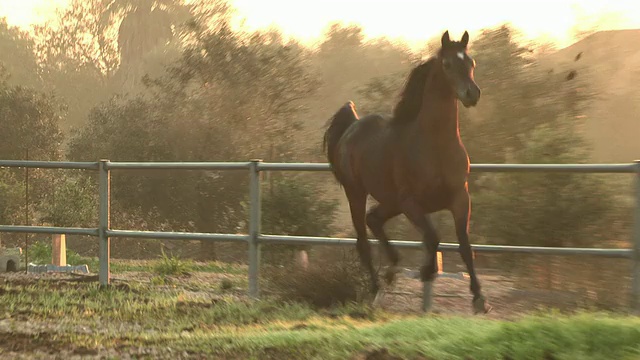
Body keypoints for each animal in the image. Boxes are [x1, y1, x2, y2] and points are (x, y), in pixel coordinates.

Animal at [322, 29, 492, 314]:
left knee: (373, 219)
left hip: (390, 202)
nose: (472, 94)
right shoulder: (412, 203)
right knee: (363, 240)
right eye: (447, 64)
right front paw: (427, 271)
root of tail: (352, 126)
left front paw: (479, 298)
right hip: (357, 193)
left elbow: (465, 245)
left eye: (471, 62)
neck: (434, 144)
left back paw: (391, 271)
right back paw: (377, 290)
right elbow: (433, 238)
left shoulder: (460, 198)